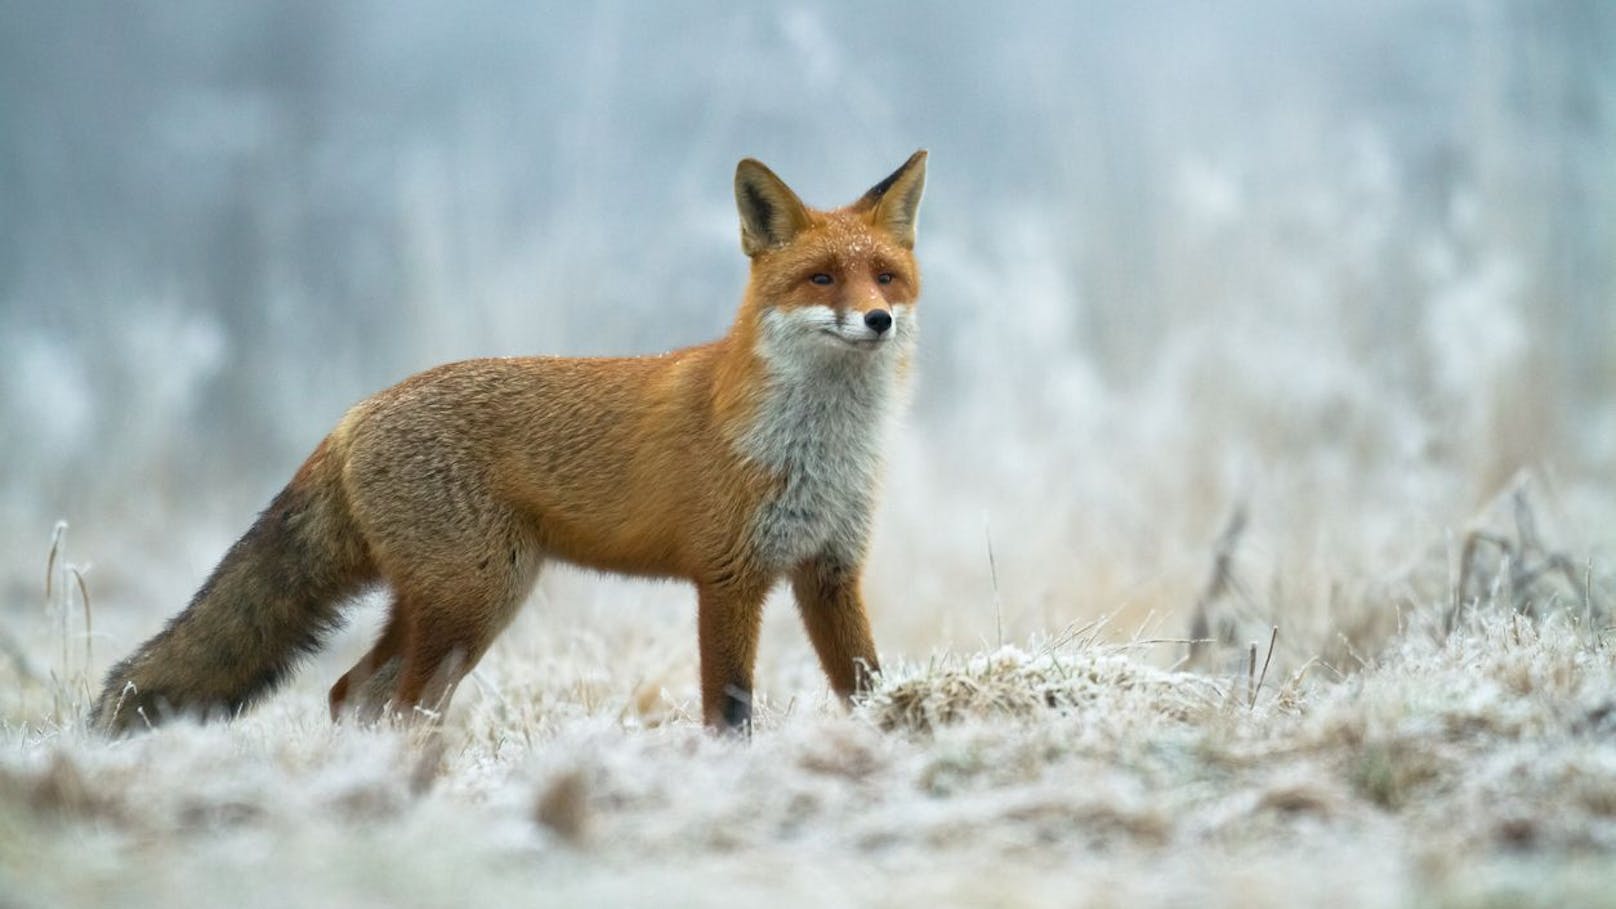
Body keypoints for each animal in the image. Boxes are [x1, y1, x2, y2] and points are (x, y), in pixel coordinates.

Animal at [88, 148, 930, 737]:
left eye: (886, 277)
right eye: (821, 278)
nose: (877, 319)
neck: (820, 447)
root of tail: (356, 411)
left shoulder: (830, 570)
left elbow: (867, 685)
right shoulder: (729, 576)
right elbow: (730, 711)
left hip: (467, 601)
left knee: (352, 692)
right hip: (472, 597)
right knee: (390, 701)